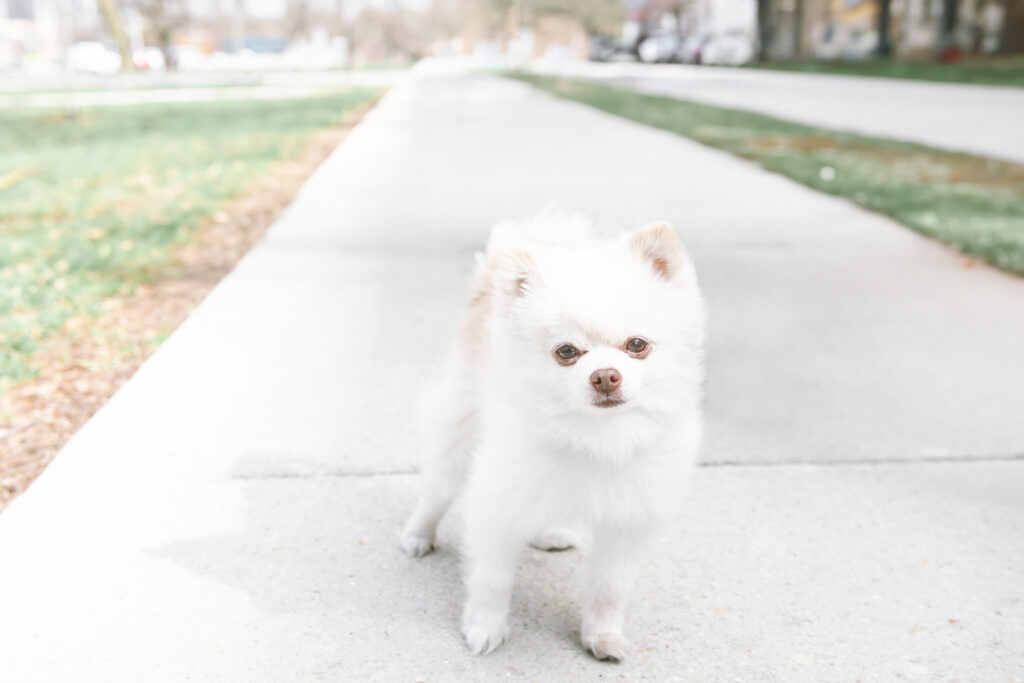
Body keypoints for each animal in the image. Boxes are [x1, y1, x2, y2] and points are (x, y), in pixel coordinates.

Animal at [397, 211, 704, 663]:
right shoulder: (498, 501)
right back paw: (418, 534)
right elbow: (492, 579)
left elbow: (609, 589)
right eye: (566, 352)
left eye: (637, 345)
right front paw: (484, 627)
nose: (605, 376)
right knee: (438, 490)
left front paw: (602, 635)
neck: (597, 436)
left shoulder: (629, 519)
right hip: (457, 430)